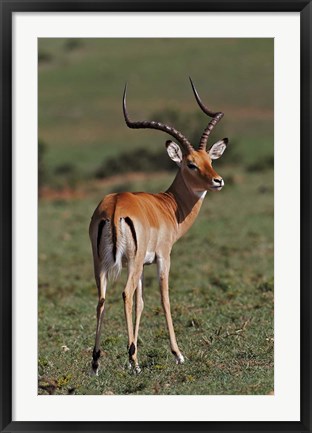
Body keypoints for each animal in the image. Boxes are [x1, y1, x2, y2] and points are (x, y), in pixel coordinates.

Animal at [89, 78, 228, 374]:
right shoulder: (163, 257)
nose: (218, 181)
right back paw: (134, 362)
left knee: (103, 299)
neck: (168, 207)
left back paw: (95, 363)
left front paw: (134, 352)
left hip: (102, 264)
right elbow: (163, 299)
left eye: (210, 160)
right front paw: (177, 354)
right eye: (191, 164)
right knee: (125, 294)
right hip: (130, 263)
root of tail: (115, 206)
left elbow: (141, 304)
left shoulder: (142, 265)